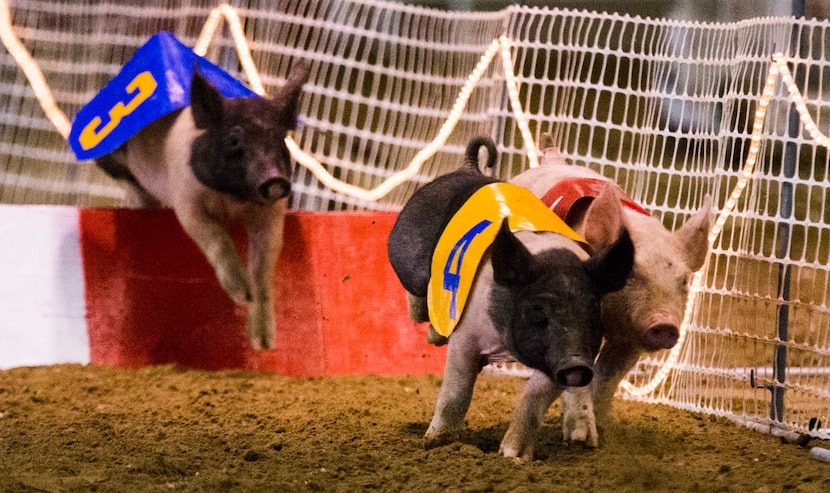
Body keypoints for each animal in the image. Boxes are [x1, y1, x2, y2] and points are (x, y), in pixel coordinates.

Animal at [92, 59, 312, 348]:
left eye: (282, 138)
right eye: (233, 139)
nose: (275, 179)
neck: (233, 199)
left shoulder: (272, 215)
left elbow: (264, 267)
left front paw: (263, 343)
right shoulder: (187, 201)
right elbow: (216, 239)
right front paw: (242, 294)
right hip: (111, 159)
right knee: (132, 186)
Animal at [390, 136, 636, 448]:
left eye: (594, 311)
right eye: (537, 311)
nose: (577, 364)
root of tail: (469, 168)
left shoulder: (555, 358)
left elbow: (533, 402)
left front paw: (513, 454)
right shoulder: (465, 337)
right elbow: (456, 393)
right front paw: (434, 442)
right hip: (409, 258)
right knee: (418, 296)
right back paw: (434, 334)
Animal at [500, 133, 716, 456]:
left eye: (685, 281)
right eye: (630, 275)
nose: (665, 324)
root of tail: (552, 158)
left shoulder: (630, 339)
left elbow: (608, 378)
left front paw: (598, 437)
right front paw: (514, 455)